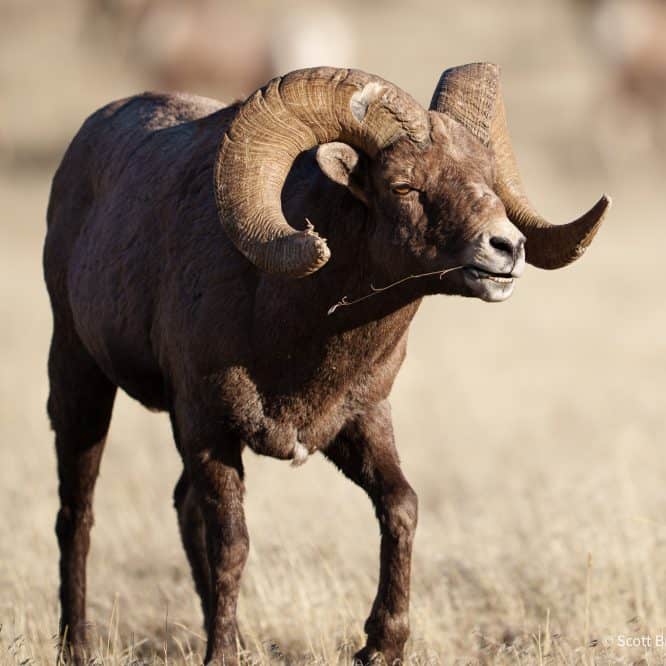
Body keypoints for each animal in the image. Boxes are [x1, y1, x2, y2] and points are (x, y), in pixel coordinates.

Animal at [44, 64, 609, 665]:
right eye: (404, 186)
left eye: (488, 178)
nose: (506, 248)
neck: (284, 323)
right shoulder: (205, 428)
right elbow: (231, 544)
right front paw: (221, 656)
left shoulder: (357, 422)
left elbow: (401, 507)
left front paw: (380, 647)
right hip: (80, 383)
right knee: (77, 516)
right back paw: (77, 647)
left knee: (181, 507)